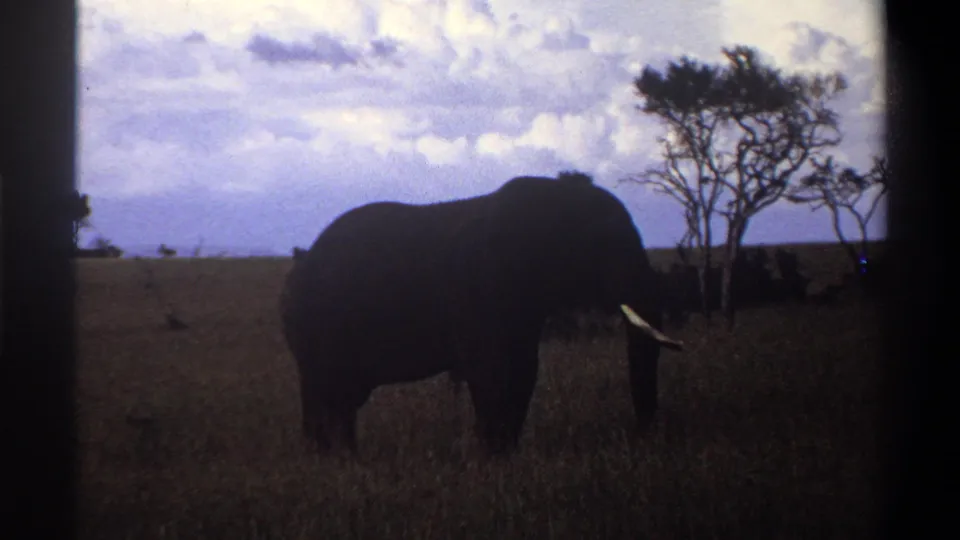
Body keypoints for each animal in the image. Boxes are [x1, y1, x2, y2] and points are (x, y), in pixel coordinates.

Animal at [279, 175, 684, 457]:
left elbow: (523, 371)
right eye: (602, 247)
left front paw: (506, 456)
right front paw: (493, 457)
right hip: (315, 325)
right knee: (327, 391)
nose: (643, 439)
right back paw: (332, 461)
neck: (553, 198)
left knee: (340, 397)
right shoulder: (482, 287)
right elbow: (492, 371)